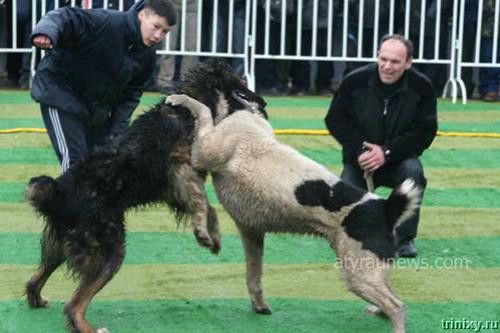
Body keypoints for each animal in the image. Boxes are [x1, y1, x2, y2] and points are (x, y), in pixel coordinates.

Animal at [24, 59, 266, 332]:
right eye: (242, 83)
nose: (265, 103)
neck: (195, 103)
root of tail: (59, 193)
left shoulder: (174, 187)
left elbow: (207, 207)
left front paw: (210, 236)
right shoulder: (181, 169)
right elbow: (202, 203)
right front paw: (204, 234)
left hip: (61, 244)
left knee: (37, 278)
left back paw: (37, 298)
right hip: (109, 251)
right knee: (74, 306)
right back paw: (89, 327)